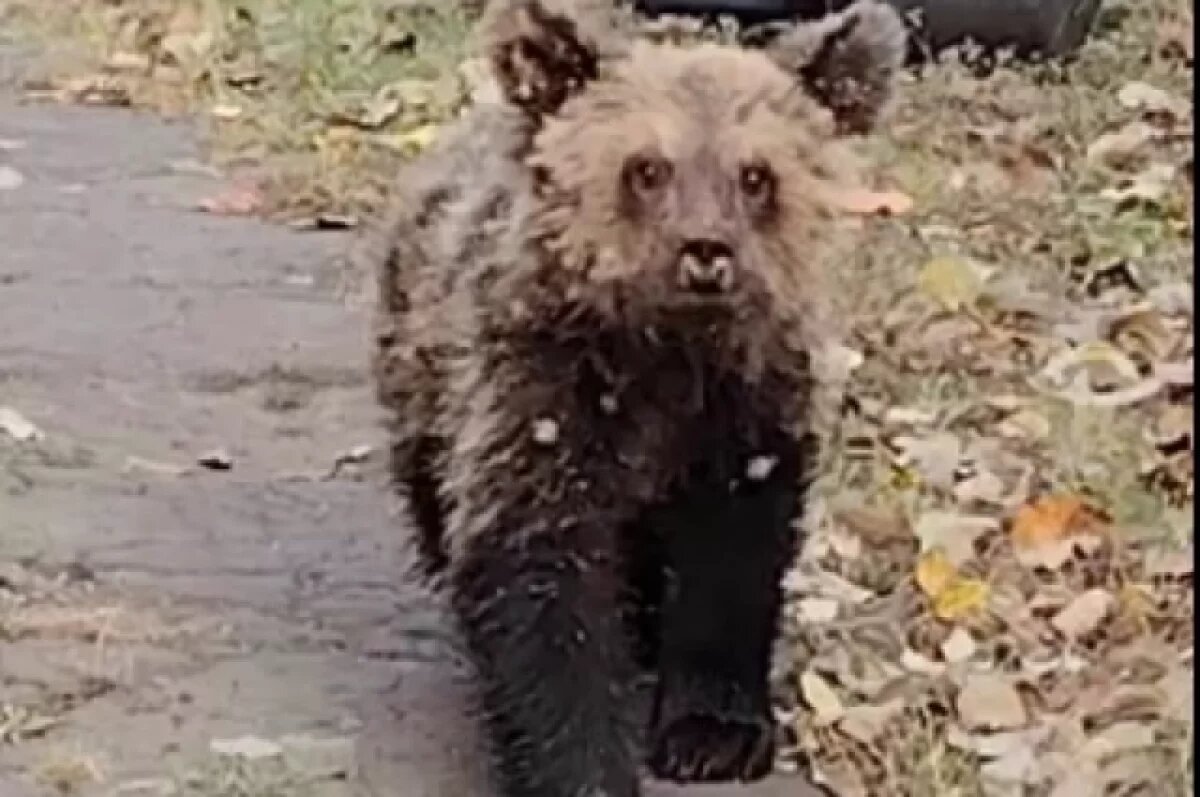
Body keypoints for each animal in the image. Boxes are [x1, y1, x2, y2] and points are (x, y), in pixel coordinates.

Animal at [366, 0, 907, 794]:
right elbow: (541, 581)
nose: (706, 251)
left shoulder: (744, 416)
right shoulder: (540, 401)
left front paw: (711, 733)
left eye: (755, 175)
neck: (665, 359)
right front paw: (581, 762)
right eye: (647, 167)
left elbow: (731, 564)